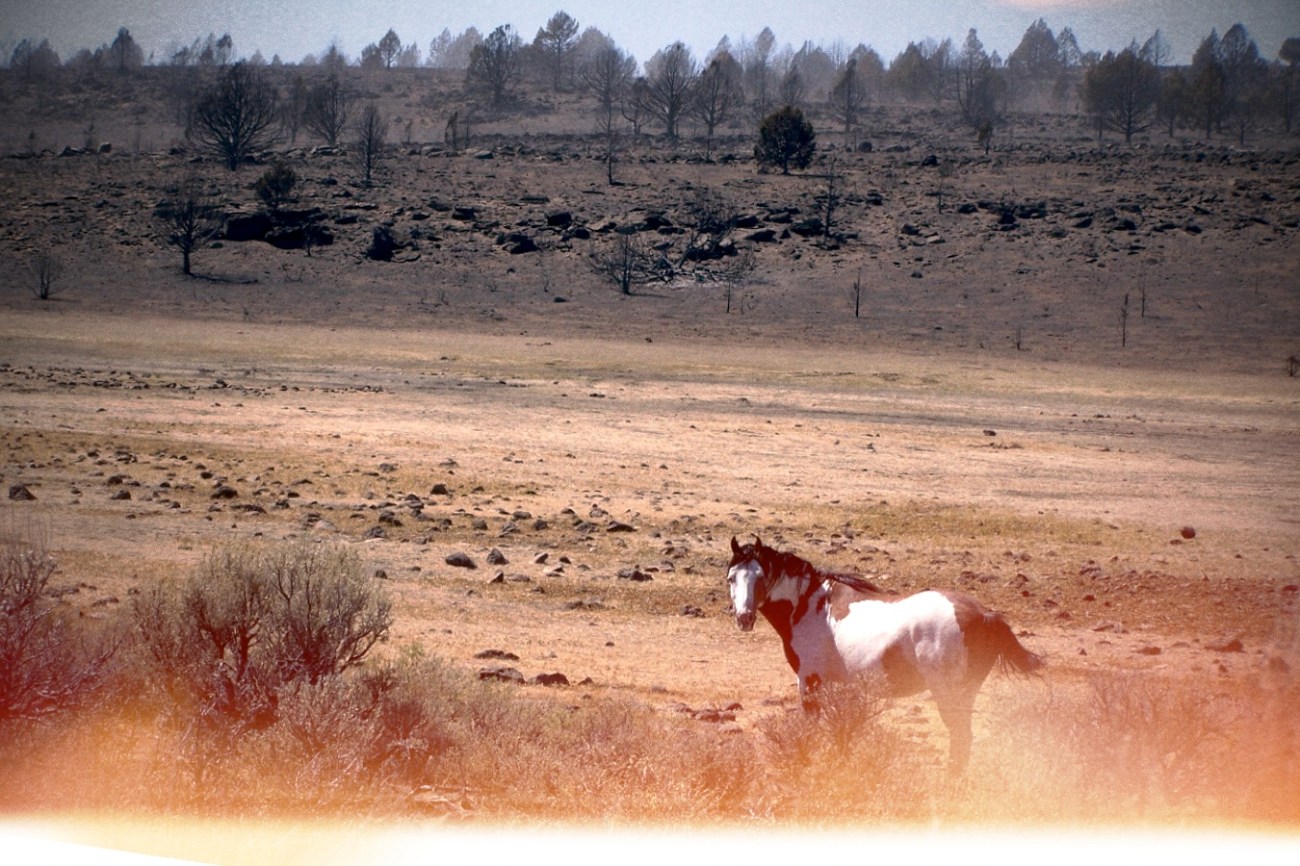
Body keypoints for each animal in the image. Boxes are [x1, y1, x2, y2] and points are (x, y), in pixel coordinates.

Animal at [726, 535, 1043, 774]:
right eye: (731, 578)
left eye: (759, 576)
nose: (744, 618)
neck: (811, 606)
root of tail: (984, 614)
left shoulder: (809, 682)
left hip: (949, 695)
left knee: (960, 738)